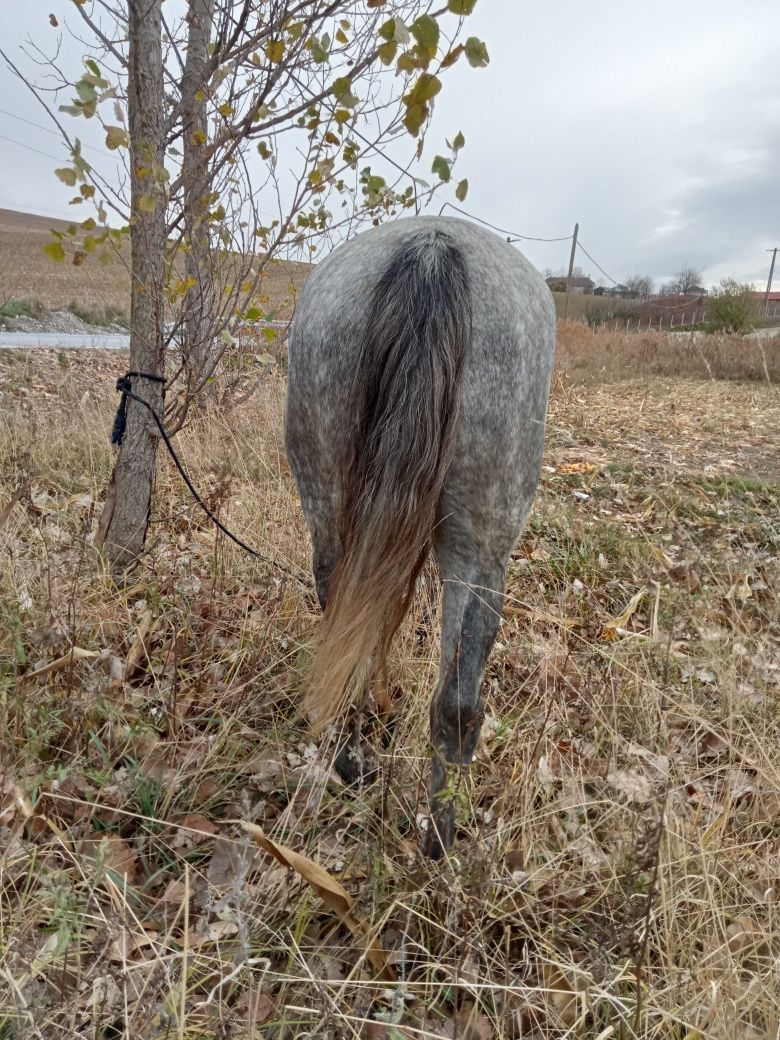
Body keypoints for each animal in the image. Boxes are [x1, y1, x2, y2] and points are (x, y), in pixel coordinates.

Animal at [284, 211, 557, 852]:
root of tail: (431, 245)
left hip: (332, 507)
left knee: (355, 636)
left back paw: (367, 775)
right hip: (483, 552)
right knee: (456, 700)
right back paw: (441, 838)